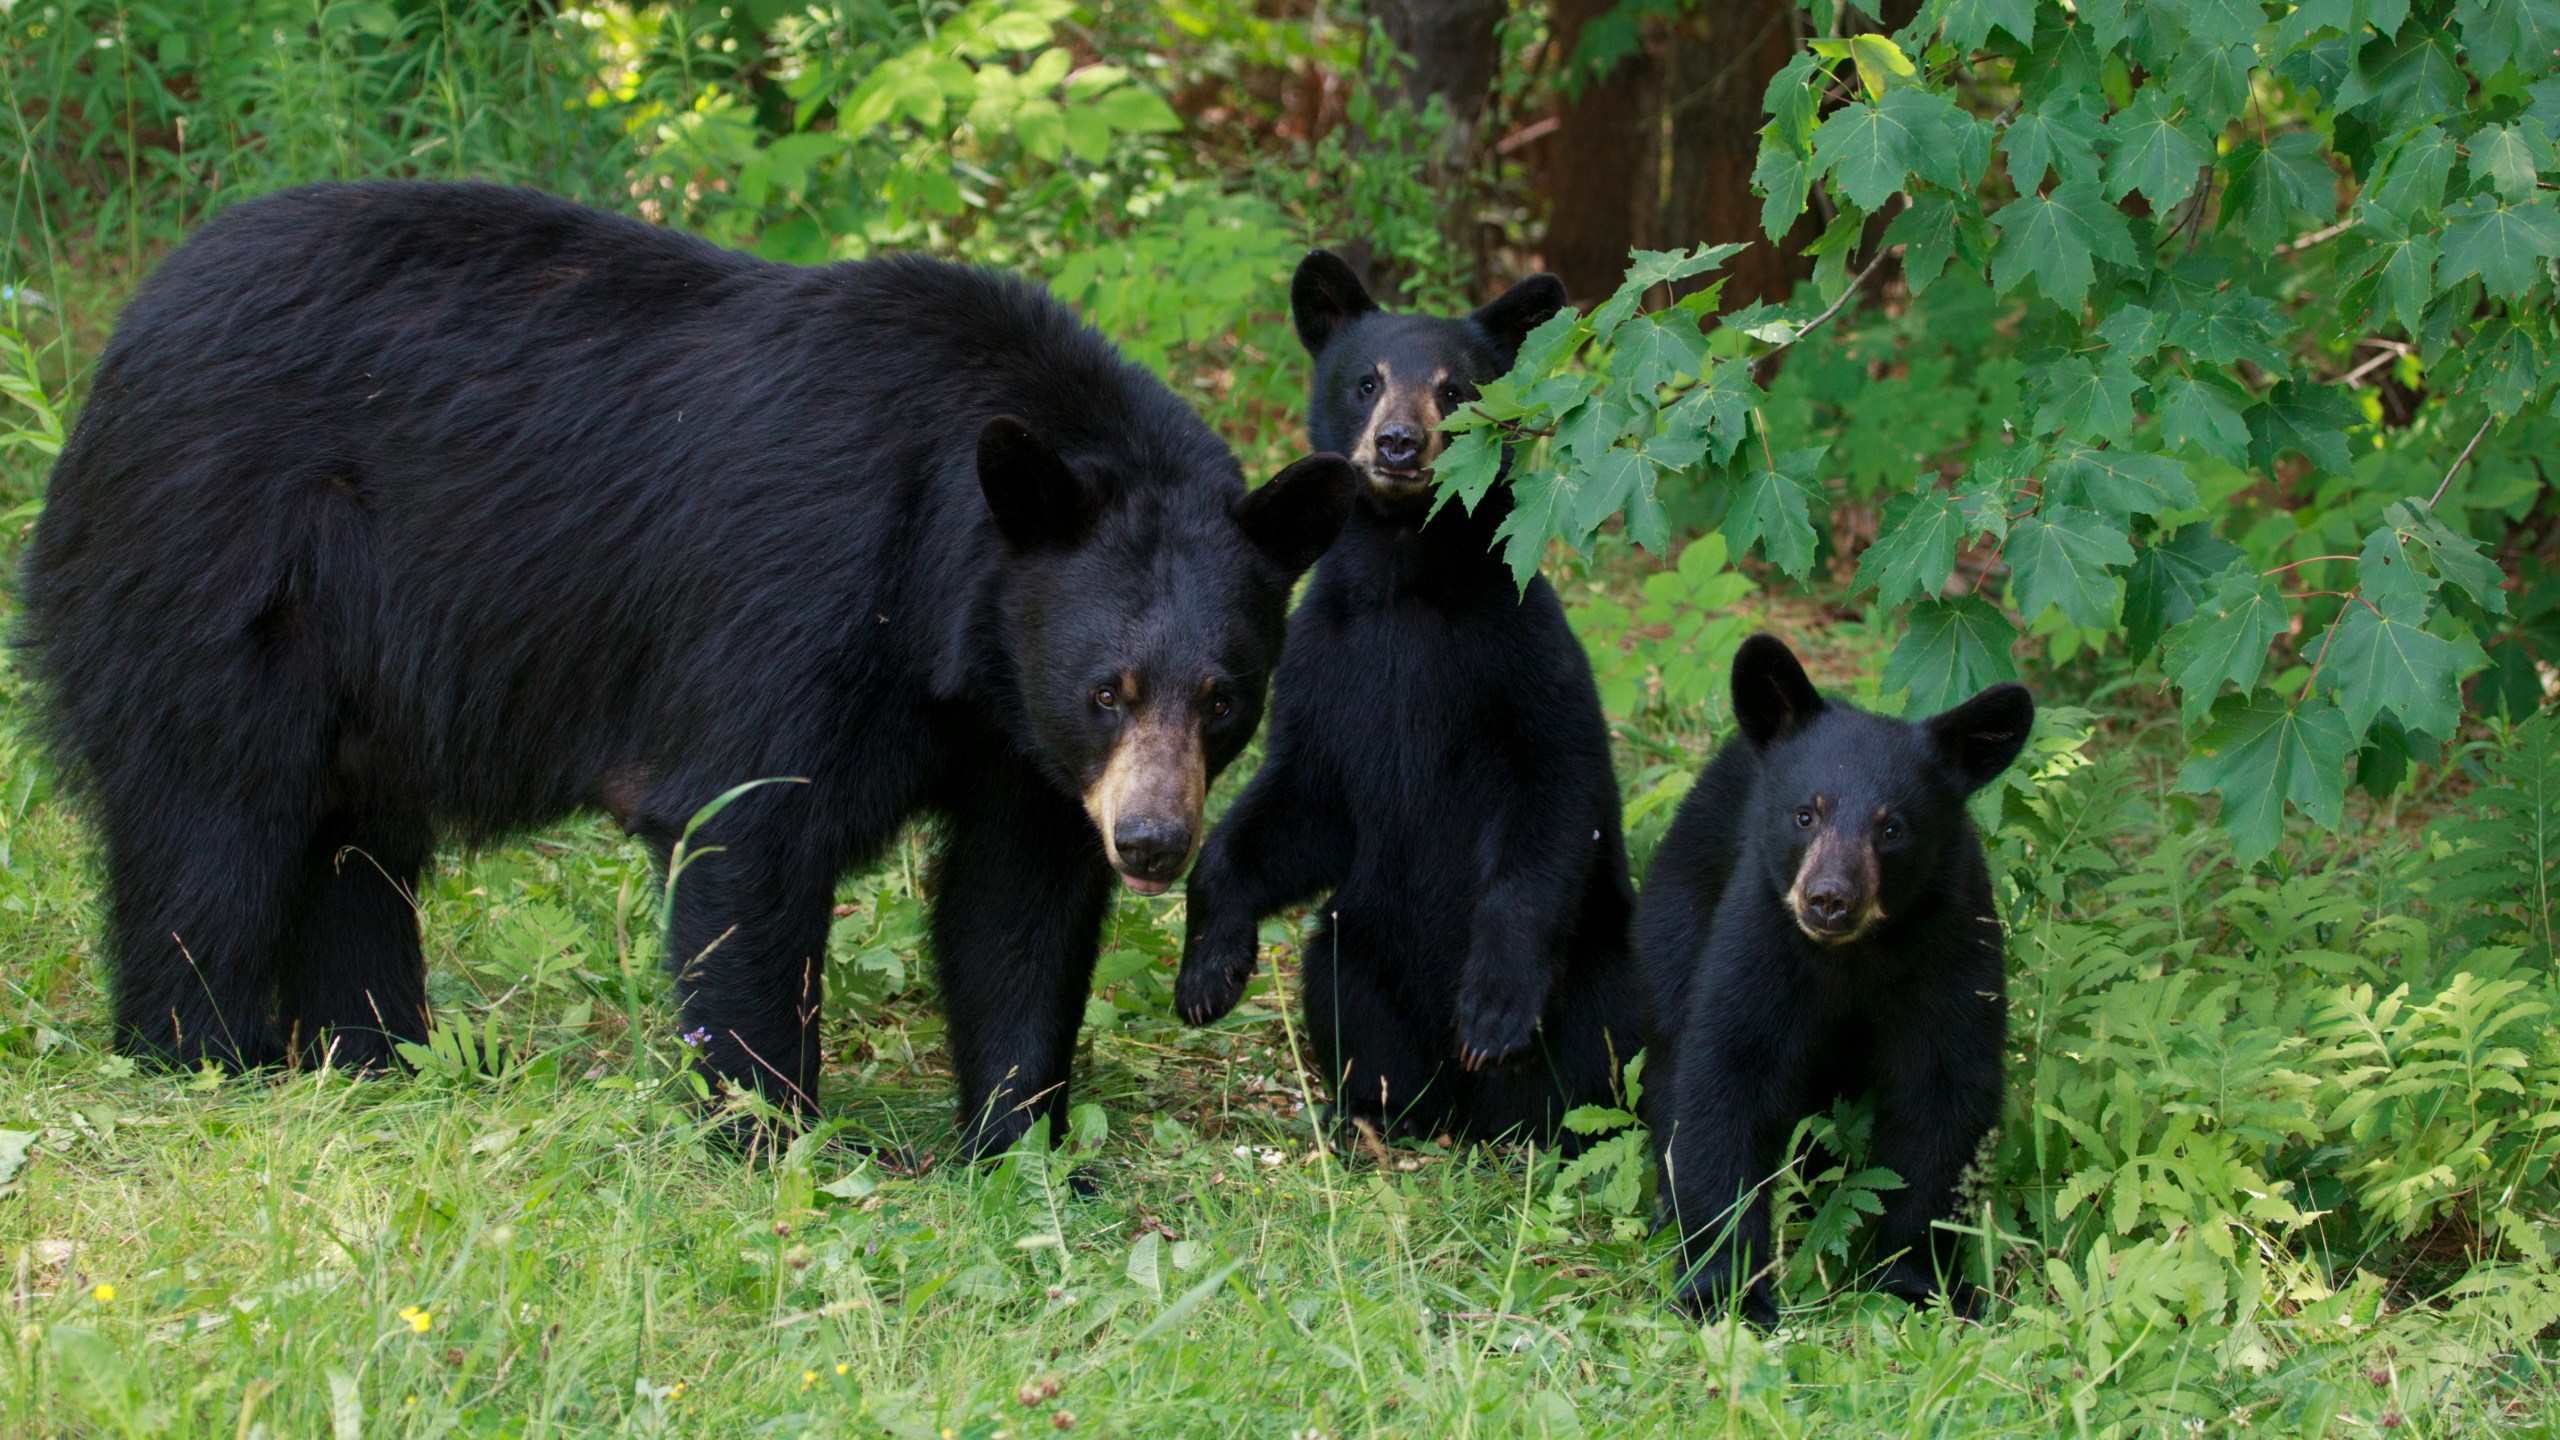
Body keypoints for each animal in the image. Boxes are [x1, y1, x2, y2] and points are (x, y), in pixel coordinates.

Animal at [20, 181, 1361, 1153]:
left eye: (1224, 698)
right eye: (1108, 689)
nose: (1153, 843)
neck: (950, 611)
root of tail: (120, 343)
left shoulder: (1011, 733)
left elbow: (1015, 908)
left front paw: (1019, 1144)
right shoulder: (795, 601)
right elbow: (746, 837)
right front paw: (773, 1131)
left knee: (351, 852)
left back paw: (385, 1053)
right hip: (217, 576)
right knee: (212, 825)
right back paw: (208, 1054)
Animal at [1172, 249, 1648, 1142]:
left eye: (1455, 390)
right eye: (1367, 381)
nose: (1398, 444)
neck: (1403, 580)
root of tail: (1469, 1119)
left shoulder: (1522, 656)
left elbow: (1552, 796)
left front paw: (1494, 1008)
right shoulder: (1326, 665)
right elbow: (1297, 802)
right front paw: (1208, 970)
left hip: (1600, 965)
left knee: (1600, 1046)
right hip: (1360, 943)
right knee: (1345, 991)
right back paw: (1370, 1112)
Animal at [1638, 632, 2037, 1322]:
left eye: (1892, 827)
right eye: (1806, 814)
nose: (1829, 899)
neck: (1854, 957)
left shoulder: (1952, 943)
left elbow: (1943, 1093)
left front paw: (1916, 1279)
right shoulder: (1761, 939)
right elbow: (1726, 1078)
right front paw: (1726, 1289)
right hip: (1676, 915)